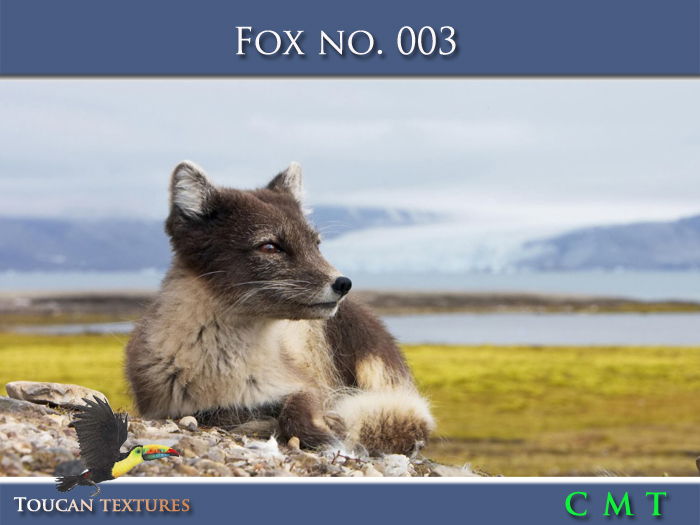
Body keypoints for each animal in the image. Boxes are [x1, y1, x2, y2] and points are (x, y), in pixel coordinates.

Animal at [125, 161, 435, 455]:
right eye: (270, 247)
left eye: (316, 244)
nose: (344, 283)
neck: (227, 369)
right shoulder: (171, 407)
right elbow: (217, 414)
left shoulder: (305, 385)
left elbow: (296, 410)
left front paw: (325, 429)